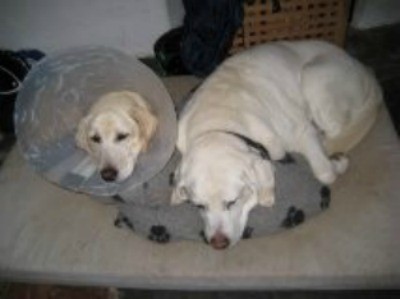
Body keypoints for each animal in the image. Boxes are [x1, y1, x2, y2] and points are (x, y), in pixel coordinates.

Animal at [171, 40, 382, 251]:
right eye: (199, 206)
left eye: (232, 202)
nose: (218, 243)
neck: (217, 124)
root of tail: (363, 68)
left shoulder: (302, 132)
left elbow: (324, 172)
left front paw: (338, 163)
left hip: (313, 78)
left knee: (336, 130)